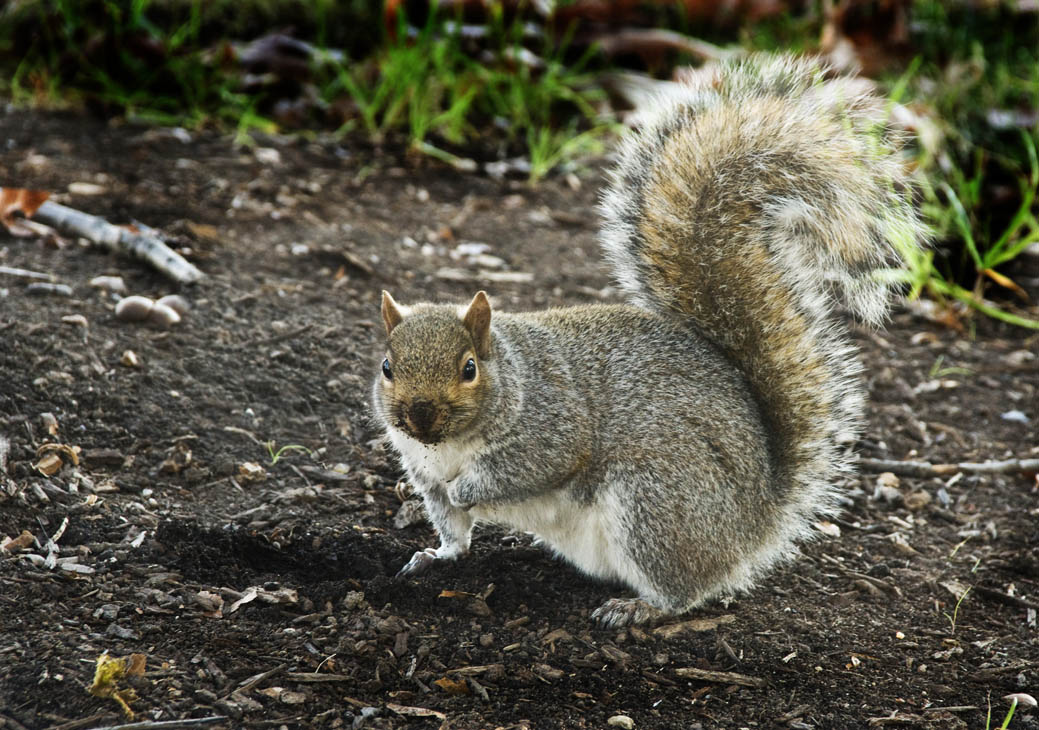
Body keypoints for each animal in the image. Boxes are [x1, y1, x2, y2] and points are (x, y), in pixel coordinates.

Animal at [371, 52, 926, 627]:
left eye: (469, 369)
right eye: (387, 367)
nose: (420, 416)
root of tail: (757, 520)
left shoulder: (551, 427)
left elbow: (526, 469)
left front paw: (468, 488)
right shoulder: (424, 471)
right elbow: (452, 529)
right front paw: (435, 555)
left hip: (653, 502)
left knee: (686, 589)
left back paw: (638, 607)